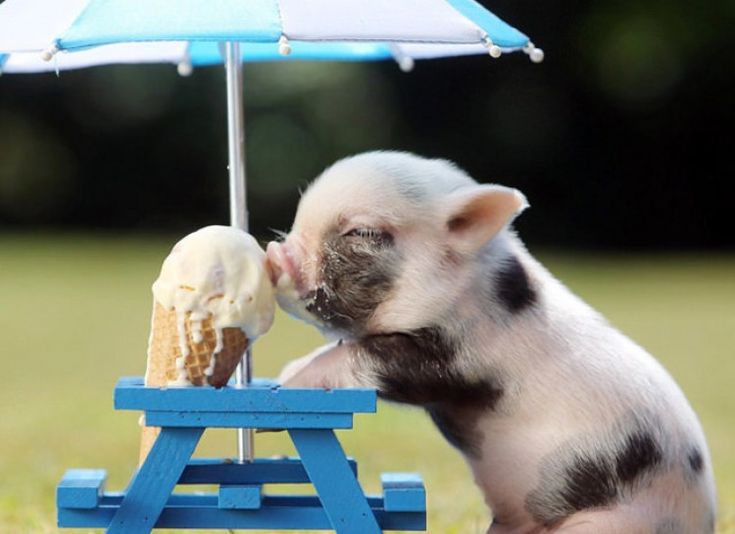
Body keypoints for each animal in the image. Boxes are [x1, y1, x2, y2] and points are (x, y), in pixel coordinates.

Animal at [265, 151, 716, 533]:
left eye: (362, 232)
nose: (275, 254)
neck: (469, 290)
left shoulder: (456, 359)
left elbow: (366, 356)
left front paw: (286, 382)